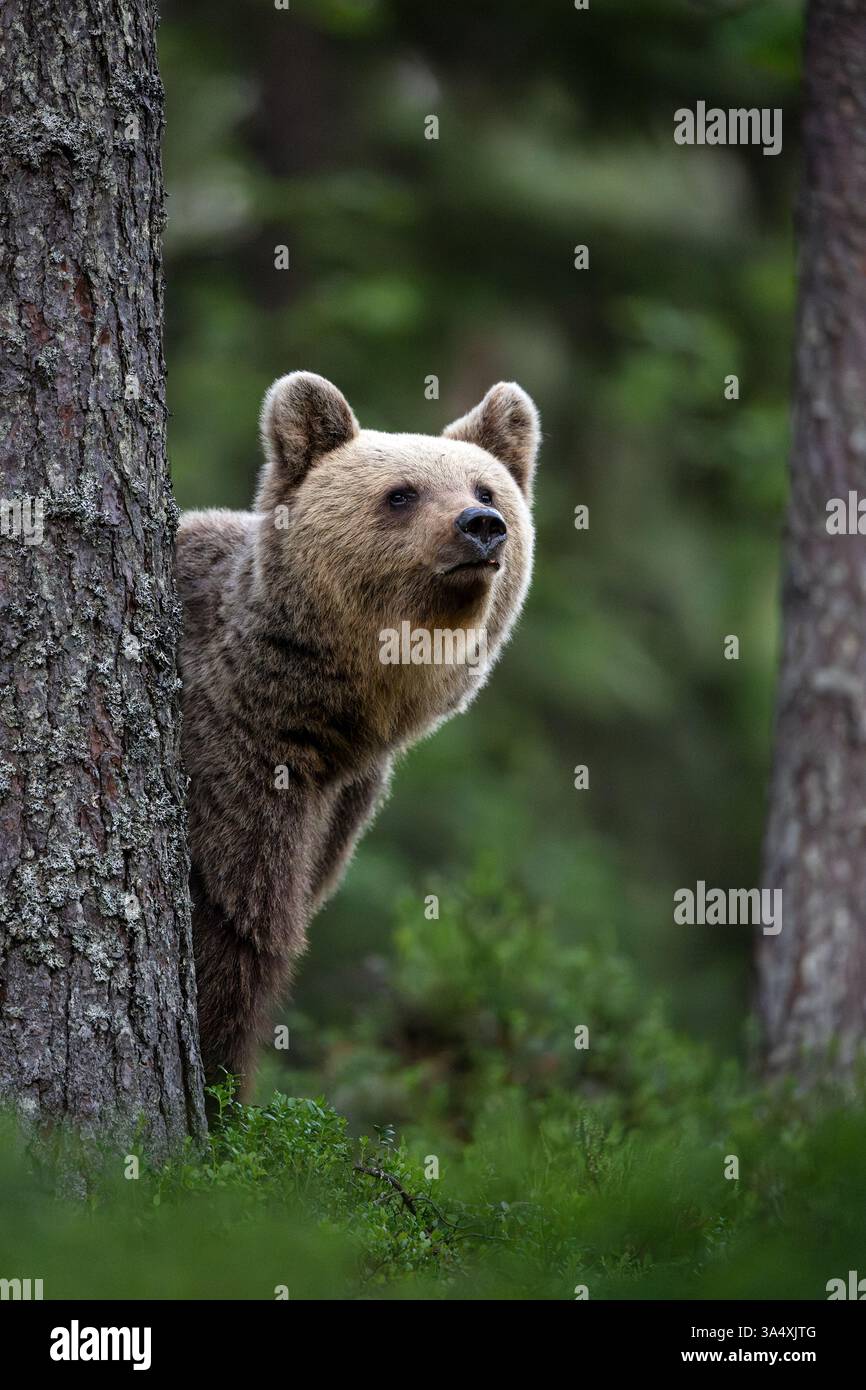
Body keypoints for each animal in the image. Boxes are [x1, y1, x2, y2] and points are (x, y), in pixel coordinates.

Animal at [176, 371, 540, 1096]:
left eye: (485, 489)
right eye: (401, 493)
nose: (481, 527)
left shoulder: (341, 804)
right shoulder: (234, 762)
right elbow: (241, 923)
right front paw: (223, 1080)